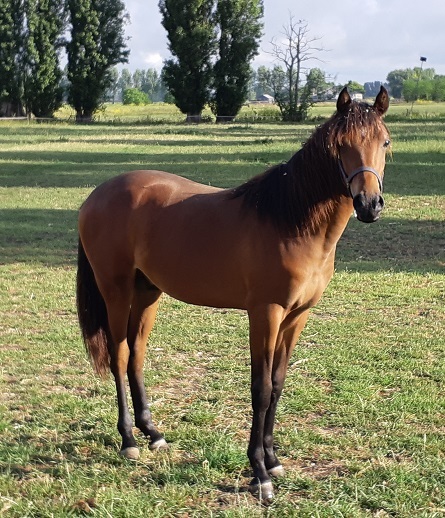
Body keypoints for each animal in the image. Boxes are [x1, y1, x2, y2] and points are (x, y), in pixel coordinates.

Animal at [76, 86, 390, 501]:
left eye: (385, 142)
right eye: (342, 146)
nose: (369, 205)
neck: (289, 220)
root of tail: (96, 196)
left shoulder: (297, 316)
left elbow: (277, 385)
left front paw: (273, 460)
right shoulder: (265, 313)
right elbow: (260, 389)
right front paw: (259, 473)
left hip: (147, 293)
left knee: (136, 356)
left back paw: (152, 433)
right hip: (116, 290)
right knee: (119, 355)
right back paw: (128, 440)